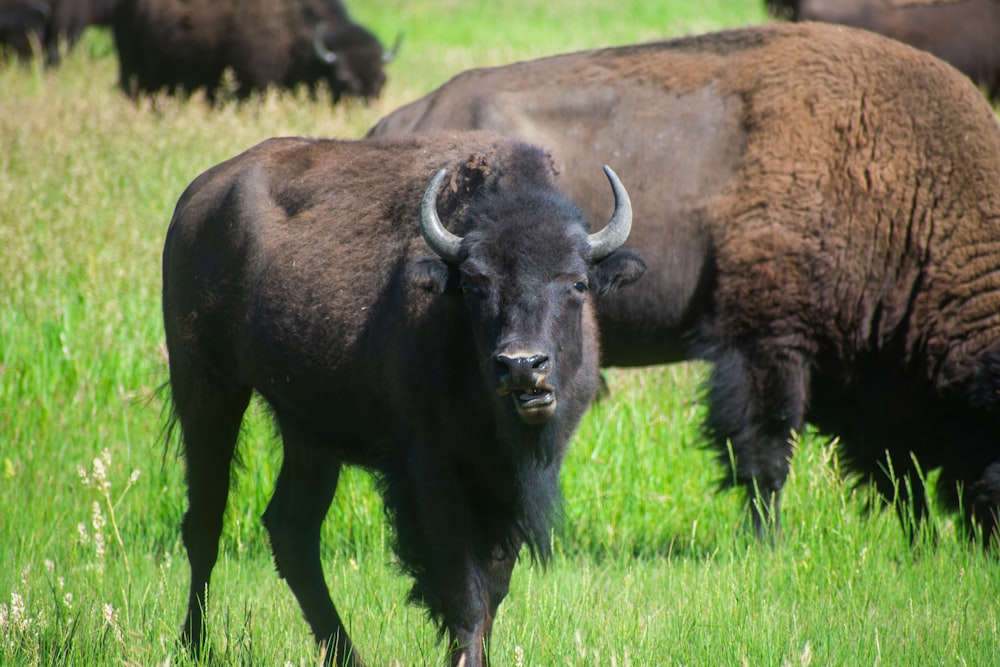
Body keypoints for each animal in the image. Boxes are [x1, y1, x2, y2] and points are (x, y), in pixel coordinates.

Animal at [162, 130, 648, 667]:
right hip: (208, 388)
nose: (522, 366)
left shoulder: (511, 482)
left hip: (308, 432)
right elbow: (464, 591)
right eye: (473, 283)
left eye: (578, 282)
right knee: (205, 521)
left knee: (291, 529)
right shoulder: (429, 475)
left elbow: (495, 587)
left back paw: (344, 654)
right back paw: (194, 644)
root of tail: (197, 198)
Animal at [370, 24, 1000, 548]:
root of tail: (394, 124)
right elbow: (767, 451)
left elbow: (892, 470)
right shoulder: (767, 344)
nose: (986, 539)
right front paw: (766, 544)